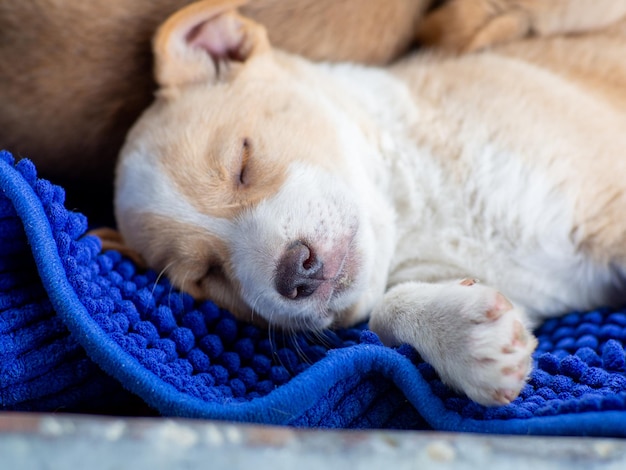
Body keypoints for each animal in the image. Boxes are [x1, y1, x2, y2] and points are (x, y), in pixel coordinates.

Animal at [114, 0, 624, 406]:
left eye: (242, 161)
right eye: (207, 276)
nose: (296, 272)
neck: (413, 210)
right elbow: (385, 310)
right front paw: (465, 339)